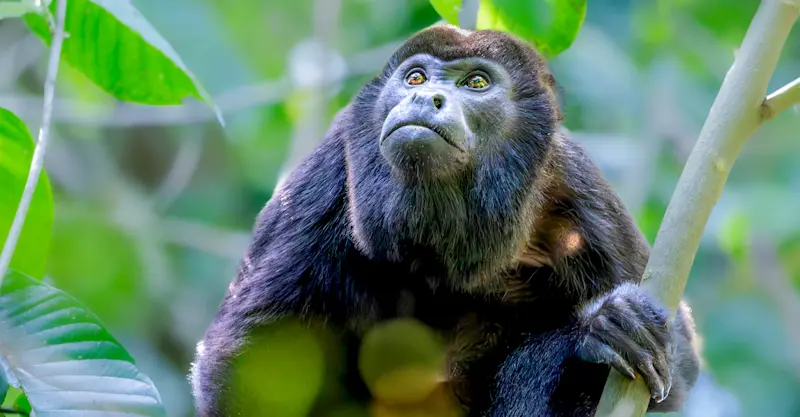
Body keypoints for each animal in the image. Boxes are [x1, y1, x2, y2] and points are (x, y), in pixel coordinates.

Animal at [190, 25, 701, 417]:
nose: (425, 97)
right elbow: (255, 357)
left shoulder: (584, 201)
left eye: (476, 83)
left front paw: (601, 329)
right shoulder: (325, 174)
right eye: (415, 76)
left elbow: (677, 379)